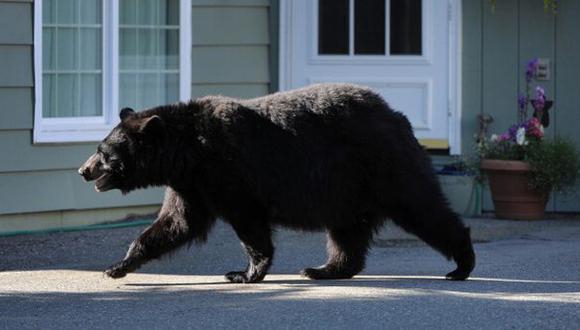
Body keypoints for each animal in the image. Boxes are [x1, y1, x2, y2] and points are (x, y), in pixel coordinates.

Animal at [78, 84, 476, 282]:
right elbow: (176, 223)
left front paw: (244, 272)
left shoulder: (228, 171)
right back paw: (323, 269)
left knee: (423, 207)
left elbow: (249, 223)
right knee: (347, 232)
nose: (83, 170)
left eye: (104, 152)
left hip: (385, 166)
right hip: (347, 189)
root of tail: (398, 117)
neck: (189, 152)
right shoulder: (190, 184)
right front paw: (117, 266)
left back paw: (462, 265)